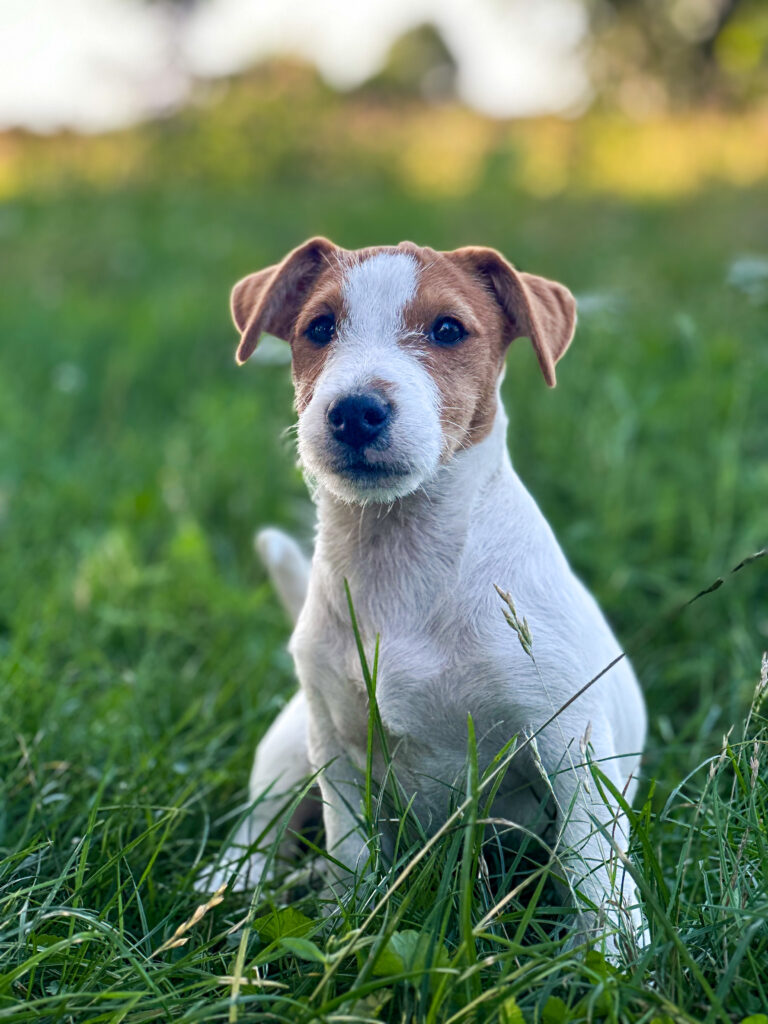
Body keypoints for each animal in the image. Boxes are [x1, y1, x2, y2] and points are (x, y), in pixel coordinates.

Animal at [201, 237, 647, 950]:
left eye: (447, 330)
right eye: (319, 328)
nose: (355, 410)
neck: (402, 556)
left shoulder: (570, 746)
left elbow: (593, 867)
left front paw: (612, 959)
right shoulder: (338, 754)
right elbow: (351, 855)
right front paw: (345, 925)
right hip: (291, 745)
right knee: (260, 823)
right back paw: (229, 885)